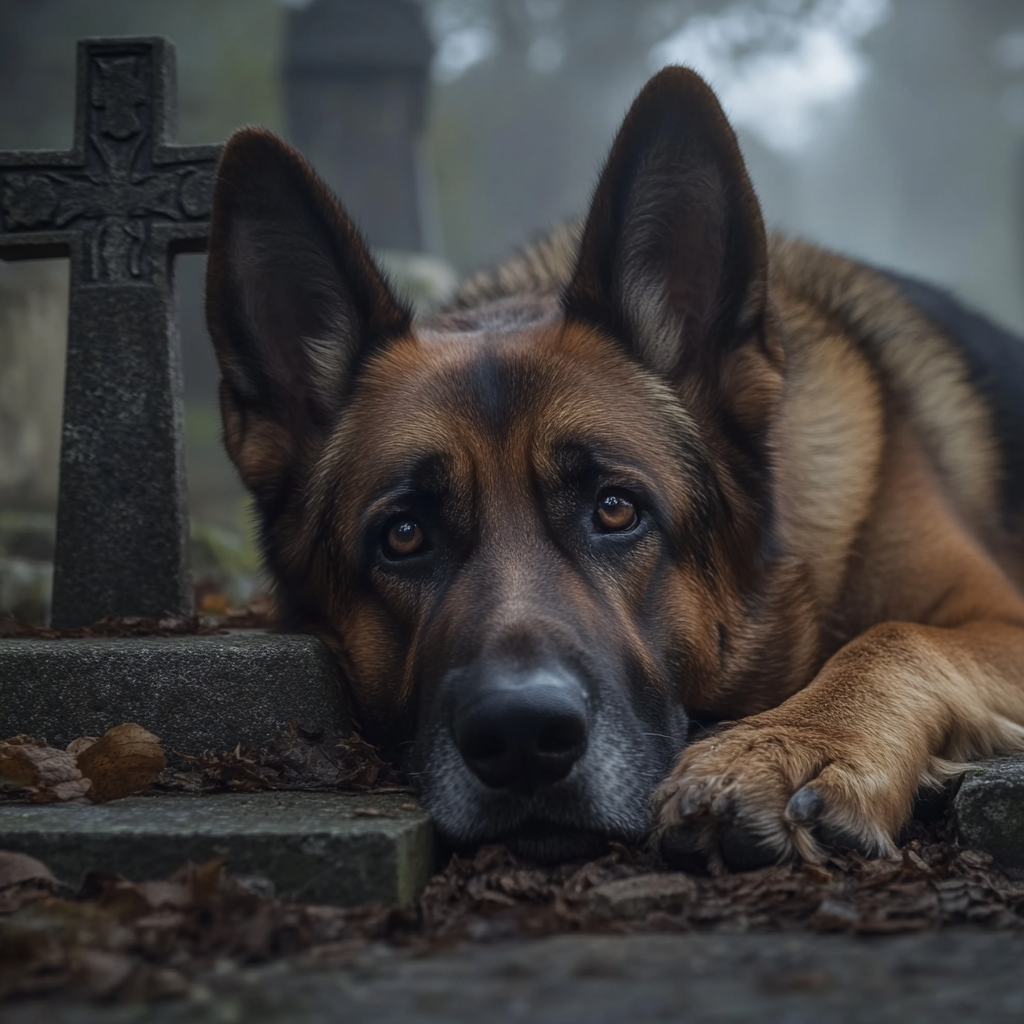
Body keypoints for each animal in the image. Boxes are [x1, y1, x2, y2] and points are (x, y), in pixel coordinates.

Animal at [203, 68, 1024, 872]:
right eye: (403, 536)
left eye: (616, 508)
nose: (523, 737)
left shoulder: (998, 614)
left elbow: (895, 638)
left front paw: (790, 745)